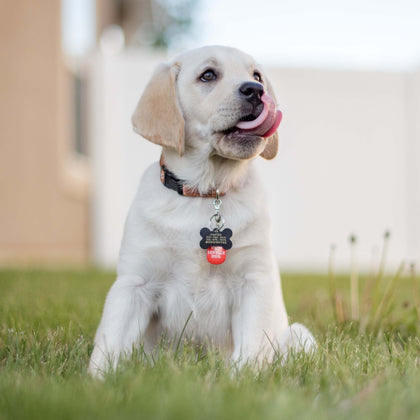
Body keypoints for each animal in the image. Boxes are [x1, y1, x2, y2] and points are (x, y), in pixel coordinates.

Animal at [90, 46, 316, 378]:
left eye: (257, 75)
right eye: (208, 75)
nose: (256, 91)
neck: (207, 192)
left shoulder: (253, 281)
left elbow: (250, 349)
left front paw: (241, 381)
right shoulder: (134, 283)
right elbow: (110, 343)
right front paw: (97, 382)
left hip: (300, 335)